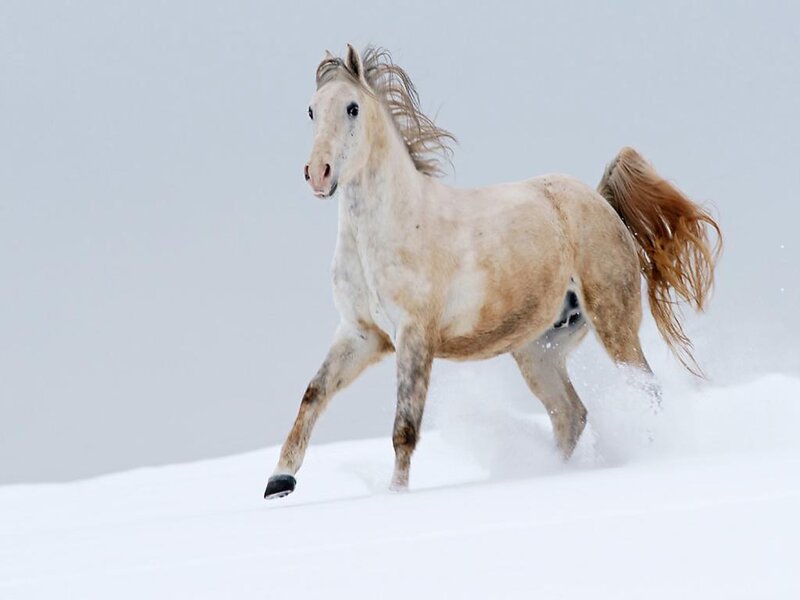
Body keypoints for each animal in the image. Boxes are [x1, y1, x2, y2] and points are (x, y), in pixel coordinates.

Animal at [264, 44, 721, 499]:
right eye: (311, 109)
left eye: (353, 107)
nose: (318, 174)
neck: (386, 228)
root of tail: (601, 201)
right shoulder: (361, 334)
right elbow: (314, 394)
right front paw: (279, 482)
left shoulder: (414, 336)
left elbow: (404, 428)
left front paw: (397, 494)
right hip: (539, 349)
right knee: (570, 413)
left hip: (613, 321)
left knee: (644, 392)